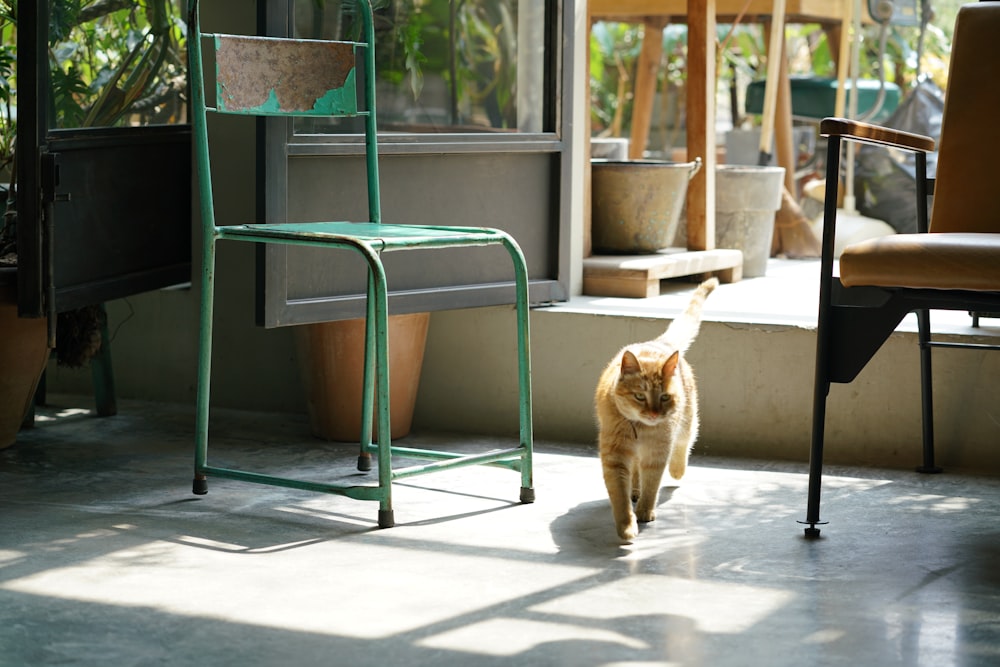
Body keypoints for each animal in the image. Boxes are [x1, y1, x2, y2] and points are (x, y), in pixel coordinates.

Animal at [596, 276, 716, 544]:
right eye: (640, 396)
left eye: (664, 397)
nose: (653, 414)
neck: (640, 429)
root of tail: (660, 342)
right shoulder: (615, 456)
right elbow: (620, 495)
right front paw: (627, 526)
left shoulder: (657, 453)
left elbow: (652, 484)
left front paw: (644, 511)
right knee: (635, 473)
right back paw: (635, 490)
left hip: (687, 422)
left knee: (683, 446)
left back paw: (677, 471)